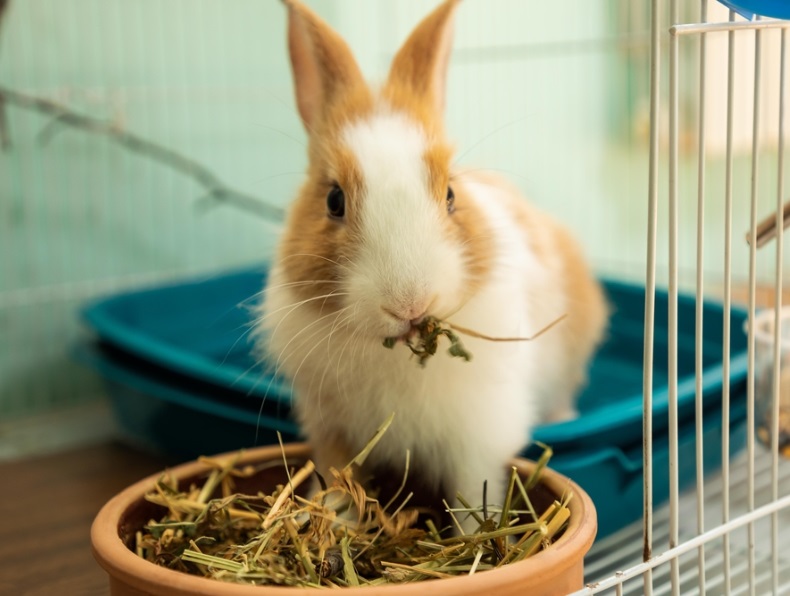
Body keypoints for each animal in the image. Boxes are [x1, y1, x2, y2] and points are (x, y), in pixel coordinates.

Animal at [256, 0, 608, 528]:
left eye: (450, 195)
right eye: (334, 200)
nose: (410, 304)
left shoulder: (476, 439)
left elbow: (473, 499)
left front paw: (476, 535)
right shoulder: (333, 431)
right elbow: (339, 485)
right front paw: (337, 526)